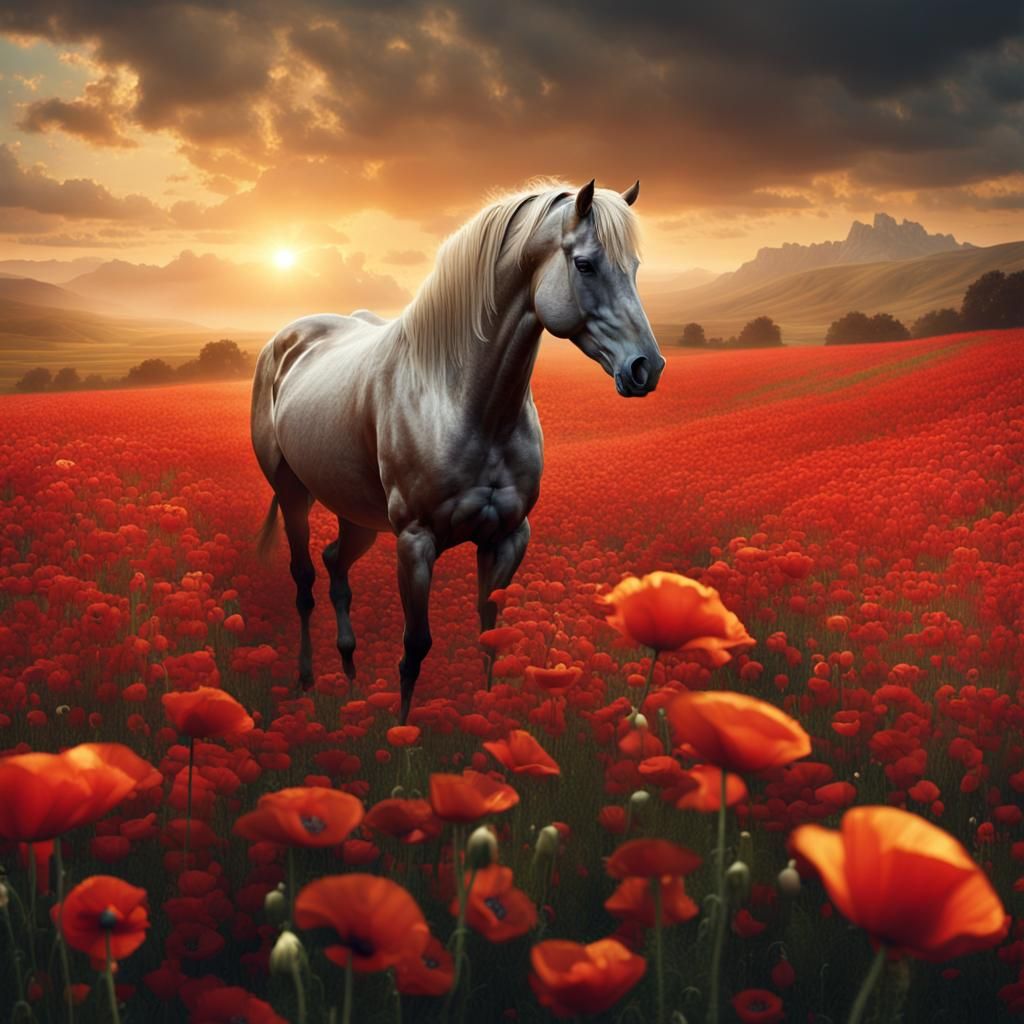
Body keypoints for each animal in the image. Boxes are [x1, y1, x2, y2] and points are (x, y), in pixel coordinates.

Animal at [251, 178, 665, 723]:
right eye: (584, 265)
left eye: (634, 267)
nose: (646, 367)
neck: (461, 400)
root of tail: (284, 341)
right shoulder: (415, 542)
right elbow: (415, 646)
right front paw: (403, 731)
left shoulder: (507, 537)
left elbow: (490, 634)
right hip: (293, 495)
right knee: (304, 583)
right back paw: (307, 681)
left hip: (356, 515)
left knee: (336, 564)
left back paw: (351, 673)